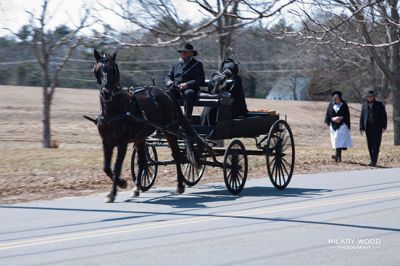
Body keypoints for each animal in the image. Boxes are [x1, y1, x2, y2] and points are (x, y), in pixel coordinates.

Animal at [91, 49, 209, 202]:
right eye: (97, 70)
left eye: (112, 70)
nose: (106, 93)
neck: (114, 110)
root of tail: (167, 93)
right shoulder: (106, 141)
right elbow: (106, 167)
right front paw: (122, 184)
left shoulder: (122, 142)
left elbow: (116, 167)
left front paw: (113, 192)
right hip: (141, 137)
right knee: (143, 161)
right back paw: (137, 188)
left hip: (169, 130)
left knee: (176, 154)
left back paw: (180, 185)